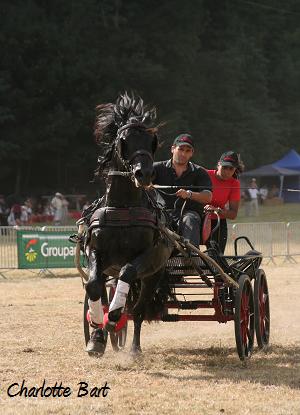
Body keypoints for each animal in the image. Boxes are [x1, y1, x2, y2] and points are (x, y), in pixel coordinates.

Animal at [85, 92, 173, 356]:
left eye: (151, 140)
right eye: (124, 141)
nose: (144, 173)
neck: (123, 208)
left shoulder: (147, 256)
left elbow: (127, 273)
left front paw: (114, 316)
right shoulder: (96, 253)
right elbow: (93, 286)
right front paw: (97, 333)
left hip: (154, 274)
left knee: (139, 310)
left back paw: (134, 347)